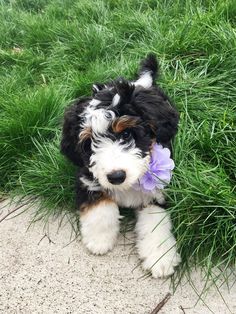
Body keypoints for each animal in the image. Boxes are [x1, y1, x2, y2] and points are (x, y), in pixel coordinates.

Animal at [60, 54, 181, 278]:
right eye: (89, 143)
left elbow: (156, 221)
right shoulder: (87, 176)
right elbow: (100, 204)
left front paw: (160, 257)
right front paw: (99, 239)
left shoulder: (159, 188)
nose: (116, 177)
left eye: (126, 134)